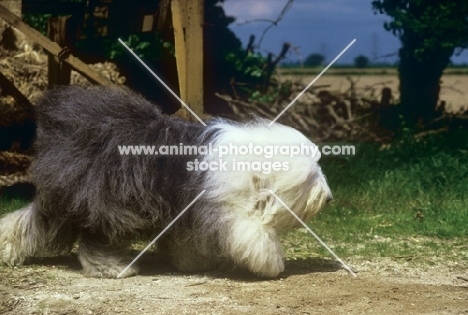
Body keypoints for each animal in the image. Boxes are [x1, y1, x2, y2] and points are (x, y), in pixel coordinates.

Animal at [0, 86, 332, 278]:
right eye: (310, 177)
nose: (328, 199)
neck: (253, 169)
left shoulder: (185, 212)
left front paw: (192, 263)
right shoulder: (221, 208)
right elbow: (252, 235)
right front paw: (272, 263)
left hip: (70, 194)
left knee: (30, 219)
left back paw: (6, 247)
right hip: (106, 198)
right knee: (95, 238)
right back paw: (113, 267)